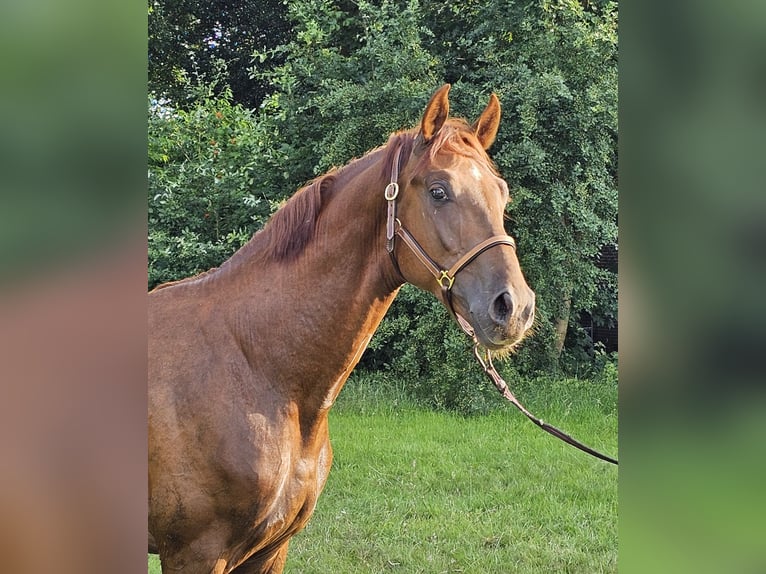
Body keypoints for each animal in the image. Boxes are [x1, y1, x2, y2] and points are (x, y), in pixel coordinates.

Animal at [148, 85, 536, 574]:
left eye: (502, 194)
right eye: (439, 191)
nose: (514, 307)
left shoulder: (269, 550)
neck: (257, 365)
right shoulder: (195, 553)